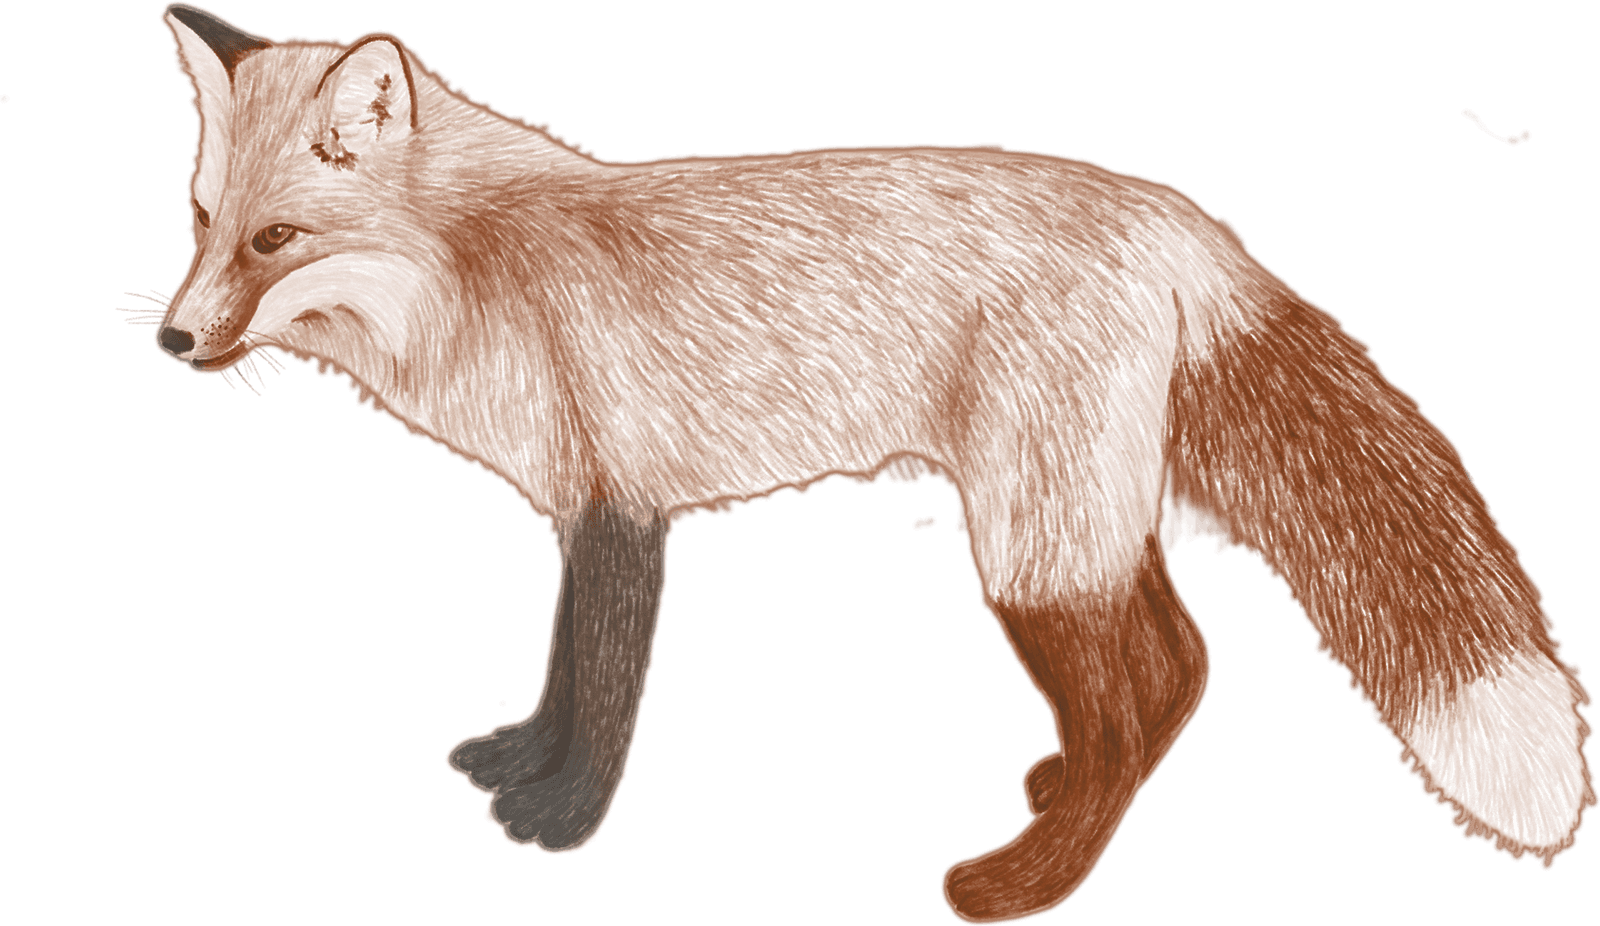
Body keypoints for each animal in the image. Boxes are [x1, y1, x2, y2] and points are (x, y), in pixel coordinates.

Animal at [151, 4, 1591, 923]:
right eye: (205, 223)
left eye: (276, 239)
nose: (168, 337)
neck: (479, 268)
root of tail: (1171, 213)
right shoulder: (579, 510)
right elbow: (560, 681)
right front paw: (522, 769)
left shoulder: (622, 506)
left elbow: (602, 694)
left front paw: (563, 824)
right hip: (1077, 518)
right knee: (1178, 663)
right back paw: (1063, 801)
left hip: (1026, 546)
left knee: (1135, 699)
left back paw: (1028, 882)